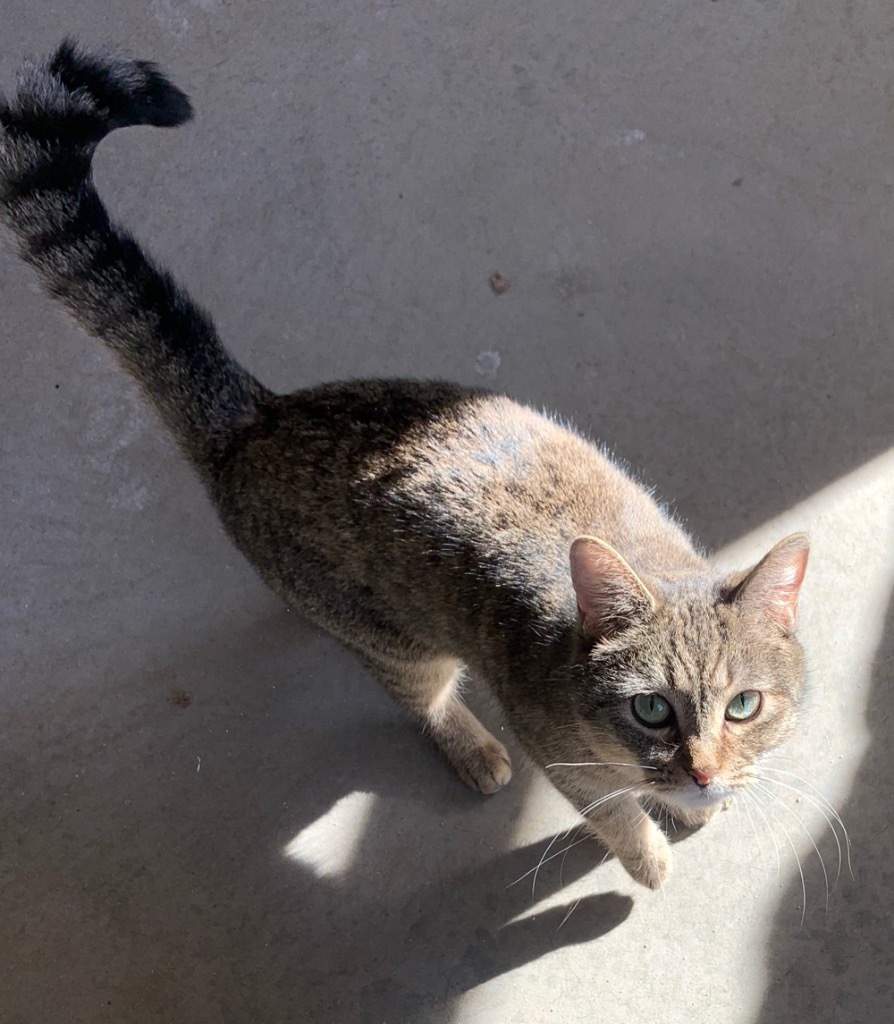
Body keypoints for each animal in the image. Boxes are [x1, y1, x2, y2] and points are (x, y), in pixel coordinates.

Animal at [0, 41, 811, 888]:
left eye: (745, 706)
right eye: (651, 708)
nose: (704, 773)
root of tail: (256, 418)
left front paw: (702, 803)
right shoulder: (561, 754)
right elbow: (613, 812)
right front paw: (650, 855)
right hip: (403, 645)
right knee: (417, 697)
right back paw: (474, 749)